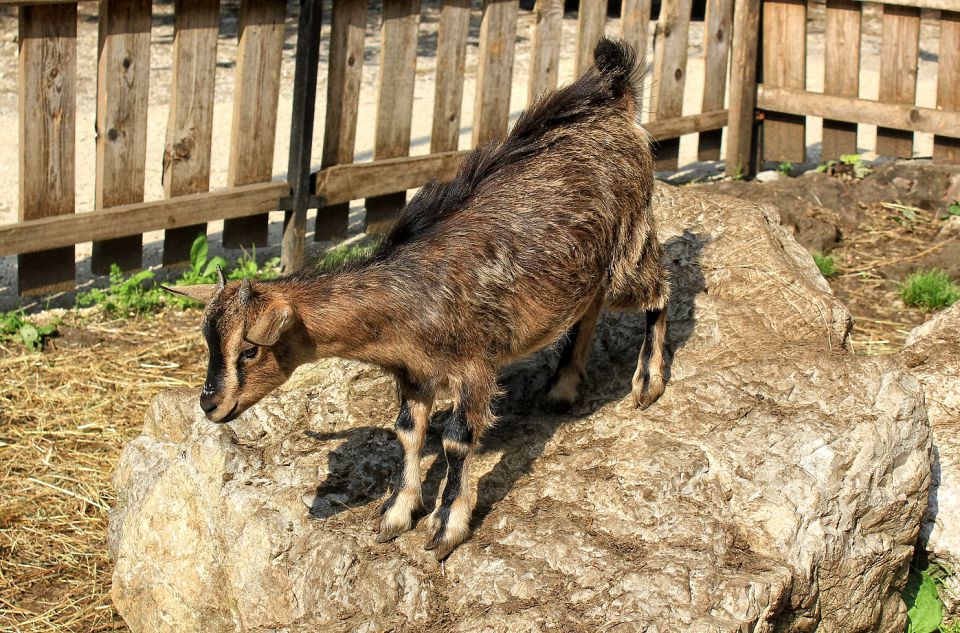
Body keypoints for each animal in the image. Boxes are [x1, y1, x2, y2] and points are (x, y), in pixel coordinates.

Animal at [165, 38, 672, 556]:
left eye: (249, 350)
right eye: (208, 344)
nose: (210, 405)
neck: (408, 302)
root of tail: (615, 98)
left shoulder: (475, 365)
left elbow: (456, 441)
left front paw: (446, 526)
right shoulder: (412, 371)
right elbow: (407, 432)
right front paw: (396, 513)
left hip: (628, 245)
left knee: (658, 290)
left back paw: (647, 382)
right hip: (584, 267)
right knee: (589, 308)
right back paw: (563, 387)